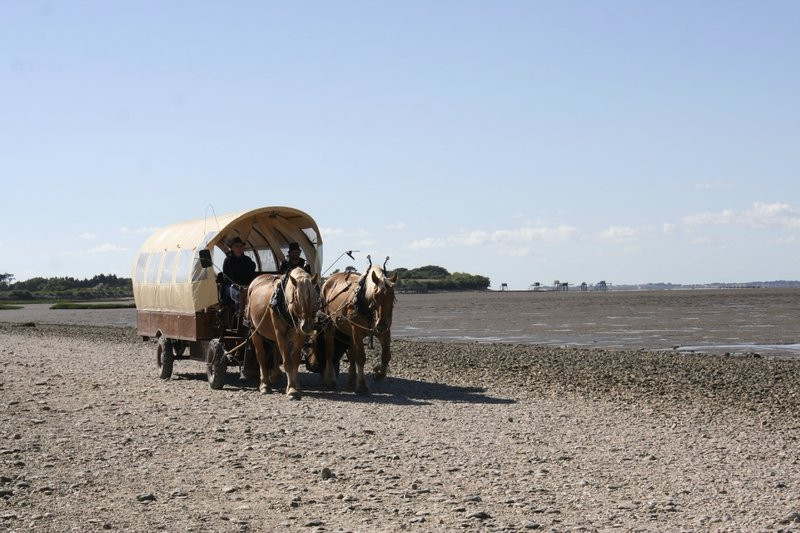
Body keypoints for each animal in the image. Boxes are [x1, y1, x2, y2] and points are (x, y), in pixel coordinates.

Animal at [245, 268, 318, 396]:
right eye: (297, 297)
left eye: (314, 297)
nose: (307, 327)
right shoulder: (280, 334)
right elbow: (287, 362)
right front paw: (291, 389)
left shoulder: (300, 336)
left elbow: (295, 360)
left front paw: (296, 385)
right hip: (255, 330)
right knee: (261, 356)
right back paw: (264, 384)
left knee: (275, 350)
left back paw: (275, 375)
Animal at [318, 262, 396, 390]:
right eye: (376, 296)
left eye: (392, 296)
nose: (381, 324)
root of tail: (327, 280)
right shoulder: (357, 330)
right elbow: (360, 357)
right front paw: (362, 384)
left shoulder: (384, 332)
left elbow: (386, 356)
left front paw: (378, 372)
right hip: (329, 323)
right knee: (330, 351)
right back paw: (330, 379)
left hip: (349, 331)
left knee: (351, 353)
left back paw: (351, 380)